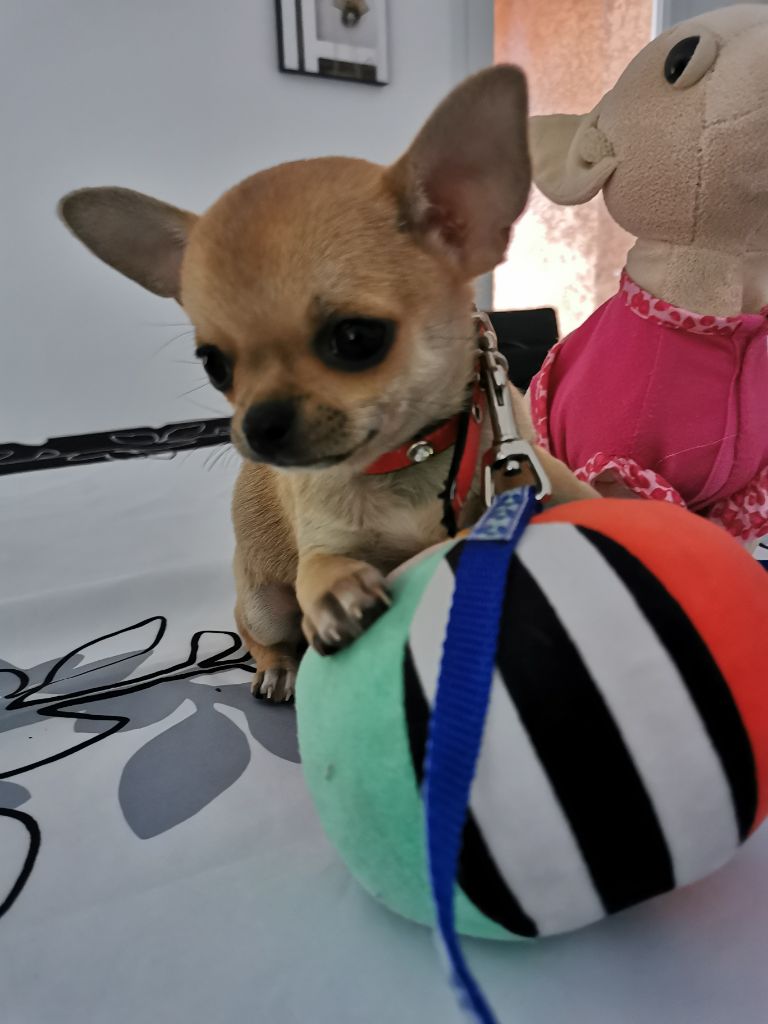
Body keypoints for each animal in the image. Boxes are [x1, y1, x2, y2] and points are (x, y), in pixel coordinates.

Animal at [59, 66, 596, 702]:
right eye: (214, 364)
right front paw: (337, 592)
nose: (258, 425)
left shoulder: (541, 472)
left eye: (356, 338)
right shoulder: (322, 545)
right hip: (262, 604)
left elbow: (586, 498)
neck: (410, 459)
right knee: (260, 633)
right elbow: (318, 569)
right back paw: (277, 668)